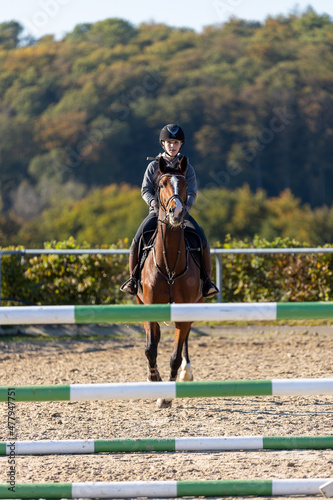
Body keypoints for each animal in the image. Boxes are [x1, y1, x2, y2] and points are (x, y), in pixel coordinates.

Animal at [135, 154, 202, 408]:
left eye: (184, 184)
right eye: (161, 184)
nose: (177, 213)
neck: (169, 264)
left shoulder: (185, 312)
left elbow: (175, 354)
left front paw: (166, 395)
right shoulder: (149, 307)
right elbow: (150, 349)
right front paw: (154, 381)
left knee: (184, 341)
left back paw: (186, 372)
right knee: (152, 341)